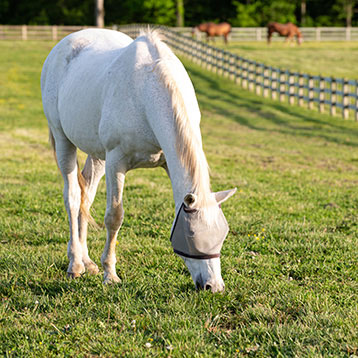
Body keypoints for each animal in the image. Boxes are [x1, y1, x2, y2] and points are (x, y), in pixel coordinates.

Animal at [40, 27, 236, 290]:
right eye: (191, 235)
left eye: (223, 234)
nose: (213, 286)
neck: (146, 93)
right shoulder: (116, 162)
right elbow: (114, 217)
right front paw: (110, 274)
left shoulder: (165, 162)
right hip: (64, 141)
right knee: (72, 198)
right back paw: (76, 265)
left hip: (97, 155)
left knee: (85, 197)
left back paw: (87, 261)